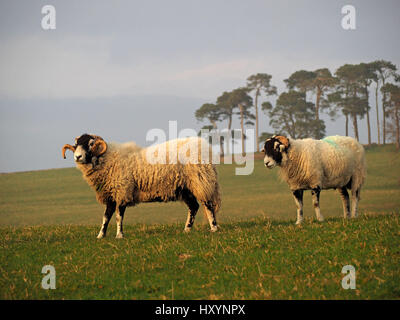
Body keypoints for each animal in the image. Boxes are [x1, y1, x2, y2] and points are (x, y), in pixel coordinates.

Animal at [61, 133, 222, 238]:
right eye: (76, 145)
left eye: (90, 144)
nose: (77, 157)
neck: (108, 159)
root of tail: (205, 146)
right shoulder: (111, 195)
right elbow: (106, 216)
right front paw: (101, 235)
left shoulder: (123, 191)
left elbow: (119, 216)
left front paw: (119, 235)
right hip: (185, 188)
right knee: (193, 207)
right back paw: (187, 229)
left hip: (201, 181)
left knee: (207, 205)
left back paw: (214, 228)